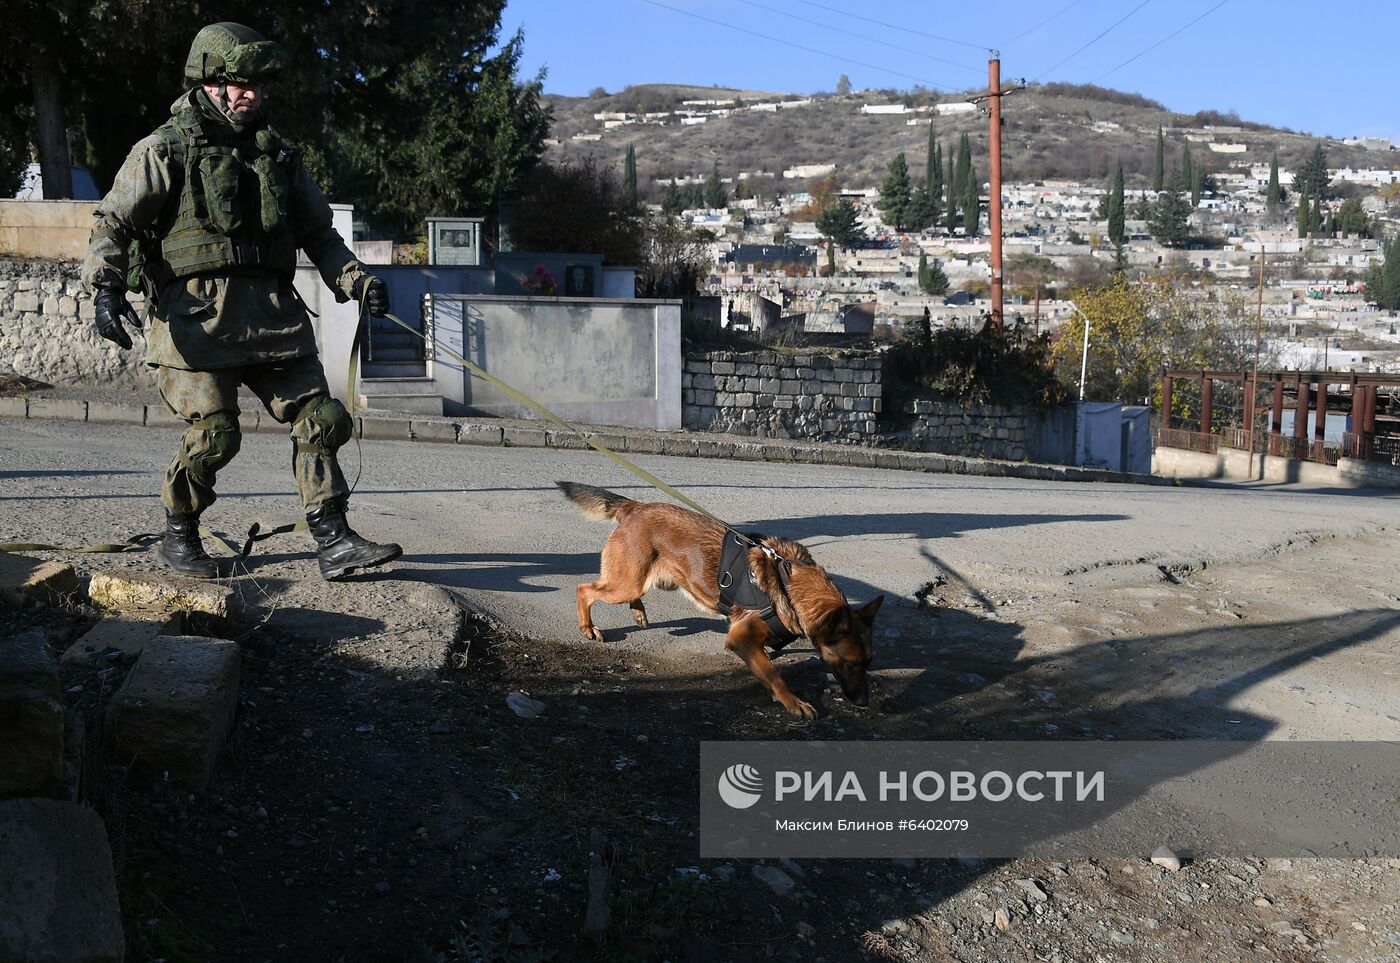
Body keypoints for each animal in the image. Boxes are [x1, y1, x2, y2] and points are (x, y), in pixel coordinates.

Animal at [554, 481, 873, 713]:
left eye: (867, 662)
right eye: (851, 663)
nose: (863, 703)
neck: (788, 583)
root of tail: (636, 507)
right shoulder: (740, 638)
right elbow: (774, 675)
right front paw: (793, 702)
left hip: (641, 581)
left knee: (628, 594)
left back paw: (638, 612)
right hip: (626, 584)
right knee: (584, 589)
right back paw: (588, 627)